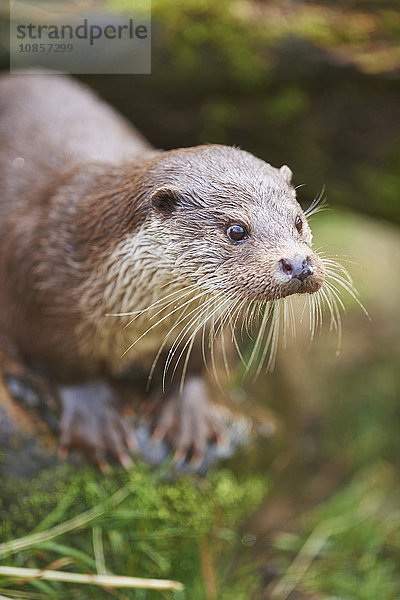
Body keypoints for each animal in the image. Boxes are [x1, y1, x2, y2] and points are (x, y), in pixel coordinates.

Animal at [0, 72, 324, 468]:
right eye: (236, 230)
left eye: (298, 221)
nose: (299, 263)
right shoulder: (35, 290)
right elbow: (64, 363)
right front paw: (95, 422)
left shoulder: (207, 322)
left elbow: (196, 361)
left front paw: (187, 416)